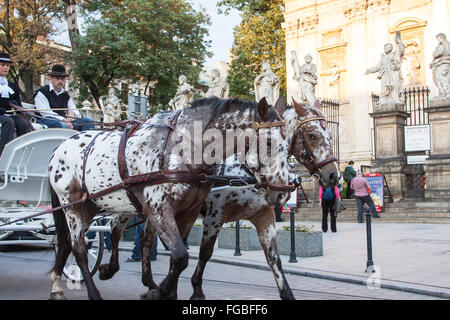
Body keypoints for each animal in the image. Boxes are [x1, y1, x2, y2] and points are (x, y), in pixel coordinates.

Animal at [50, 97, 296, 300]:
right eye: (268, 143)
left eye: (289, 143)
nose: (283, 191)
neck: (182, 149)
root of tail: (59, 147)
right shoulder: (166, 209)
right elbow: (182, 254)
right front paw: (163, 292)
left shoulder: (190, 212)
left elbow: (180, 255)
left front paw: (165, 290)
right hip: (72, 206)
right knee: (79, 247)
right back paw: (92, 291)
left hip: (99, 205)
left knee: (86, 238)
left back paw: (63, 284)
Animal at [101, 97, 338, 300]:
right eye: (312, 135)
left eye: (330, 135)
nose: (334, 175)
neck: (241, 169)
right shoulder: (215, 215)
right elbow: (205, 252)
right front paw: (196, 290)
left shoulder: (264, 216)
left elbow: (274, 258)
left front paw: (287, 293)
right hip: (128, 203)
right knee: (115, 228)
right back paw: (110, 269)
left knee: (146, 238)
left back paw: (149, 281)